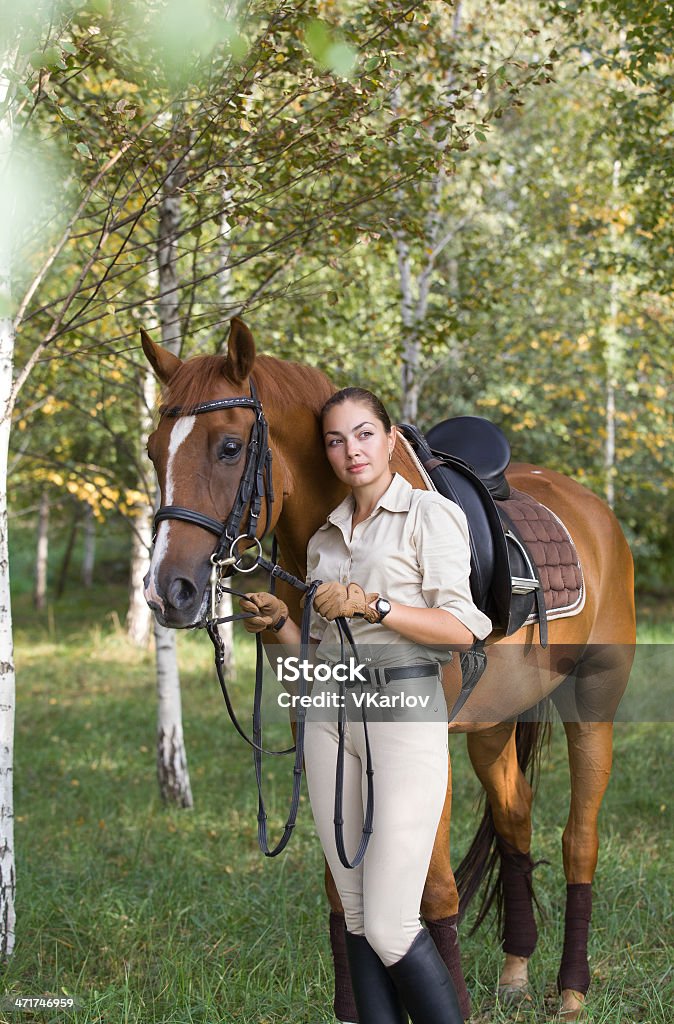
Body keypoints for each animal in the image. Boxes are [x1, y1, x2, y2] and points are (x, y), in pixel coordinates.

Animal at [139, 315, 630, 1019]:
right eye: (155, 452)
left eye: (230, 447)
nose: (167, 592)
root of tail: (597, 513)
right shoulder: (320, 730)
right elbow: (340, 889)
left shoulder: (426, 740)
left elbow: (433, 892)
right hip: (491, 727)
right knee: (516, 818)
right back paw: (515, 969)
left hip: (593, 706)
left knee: (579, 840)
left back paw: (571, 989)